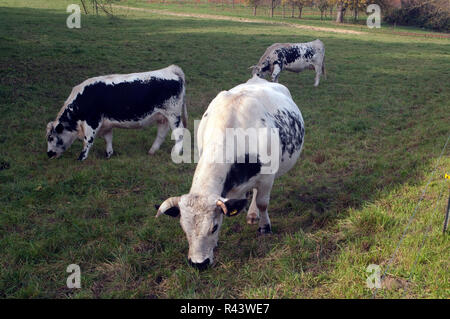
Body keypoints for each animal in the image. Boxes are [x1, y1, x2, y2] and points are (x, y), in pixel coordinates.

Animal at [45, 64, 186, 161]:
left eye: (51, 137)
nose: (48, 154)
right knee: (161, 134)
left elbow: (88, 141)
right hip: (163, 117)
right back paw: (152, 151)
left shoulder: (92, 122)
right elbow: (108, 139)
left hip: (173, 115)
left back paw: (177, 153)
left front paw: (81, 158)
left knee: (179, 133)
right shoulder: (106, 124)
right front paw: (108, 155)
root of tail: (169, 69)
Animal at [156, 76, 306, 272]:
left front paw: (265, 227)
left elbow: (262, 203)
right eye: (184, 228)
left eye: (214, 227)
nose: (198, 264)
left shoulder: (267, 177)